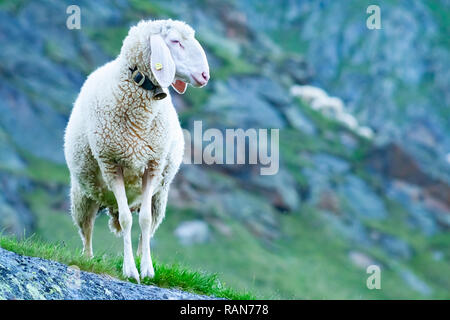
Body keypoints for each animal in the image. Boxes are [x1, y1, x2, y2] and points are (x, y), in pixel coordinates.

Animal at [63, 18, 211, 282]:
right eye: (175, 41)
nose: (205, 75)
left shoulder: (153, 165)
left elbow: (143, 221)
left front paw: (146, 269)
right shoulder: (111, 164)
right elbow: (126, 219)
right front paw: (130, 270)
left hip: (158, 198)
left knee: (147, 229)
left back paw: (143, 257)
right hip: (83, 194)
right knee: (87, 229)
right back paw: (87, 259)